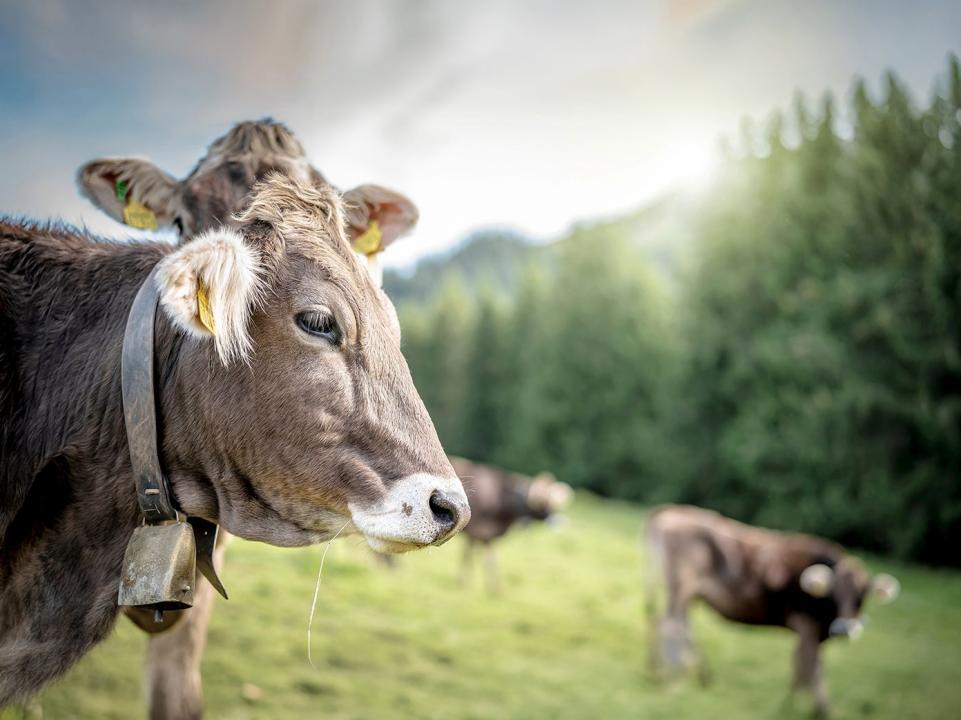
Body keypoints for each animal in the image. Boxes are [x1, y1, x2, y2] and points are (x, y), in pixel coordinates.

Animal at [452, 457, 572, 593]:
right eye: (543, 505)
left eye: (553, 506)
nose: (560, 521)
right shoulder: (475, 532)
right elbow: (470, 557)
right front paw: (464, 583)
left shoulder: (487, 536)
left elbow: (491, 560)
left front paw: (495, 588)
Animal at [645, 505, 900, 717]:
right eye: (834, 592)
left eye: (862, 593)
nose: (845, 629)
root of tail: (667, 512)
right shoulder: (808, 625)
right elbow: (810, 668)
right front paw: (811, 709)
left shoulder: (812, 632)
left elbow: (801, 664)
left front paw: (800, 705)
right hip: (680, 587)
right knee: (669, 626)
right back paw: (671, 680)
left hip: (685, 594)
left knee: (676, 624)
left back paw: (689, 674)